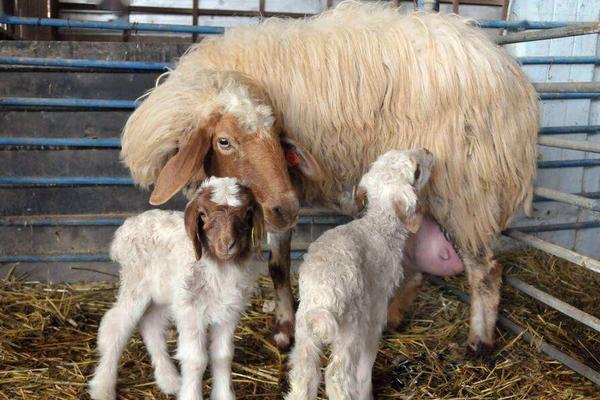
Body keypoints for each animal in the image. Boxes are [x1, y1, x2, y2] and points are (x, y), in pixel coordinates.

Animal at [89, 177, 264, 400]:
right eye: (203, 214)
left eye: (247, 213)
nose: (227, 244)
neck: (219, 268)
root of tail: (127, 227)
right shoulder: (190, 311)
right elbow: (196, 359)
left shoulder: (229, 312)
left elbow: (222, 356)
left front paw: (224, 395)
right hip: (135, 283)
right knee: (115, 326)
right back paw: (102, 387)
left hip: (164, 293)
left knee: (151, 326)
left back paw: (169, 381)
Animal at [120, 2, 540, 354]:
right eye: (224, 141)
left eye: (278, 135)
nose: (288, 207)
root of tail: (513, 78)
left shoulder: (281, 192)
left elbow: (278, 266)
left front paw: (284, 328)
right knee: (415, 266)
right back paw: (392, 318)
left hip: (468, 191)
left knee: (485, 270)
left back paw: (479, 342)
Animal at [284, 148, 432, 398]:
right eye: (417, 171)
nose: (429, 152)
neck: (379, 227)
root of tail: (323, 293)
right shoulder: (377, 305)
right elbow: (368, 358)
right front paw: (366, 391)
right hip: (350, 324)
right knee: (337, 375)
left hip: (304, 324)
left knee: (305, 374)